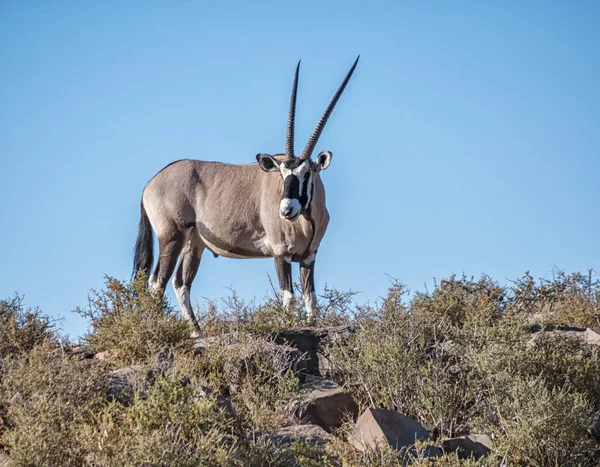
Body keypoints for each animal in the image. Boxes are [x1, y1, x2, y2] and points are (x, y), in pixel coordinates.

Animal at [134, 57, 358, 336]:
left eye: (307, 173)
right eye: (282, 174)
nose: (286, 210)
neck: (307, 221)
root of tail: (150, 183)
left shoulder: (309, 256)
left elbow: (310, 297)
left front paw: (312, 325)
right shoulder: (280, 253)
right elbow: (289, 296)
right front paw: (289, 327)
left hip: (194, 244)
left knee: (180, 283)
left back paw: (196, 332)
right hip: (171, 237)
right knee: (157, 283)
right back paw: (159, 331)